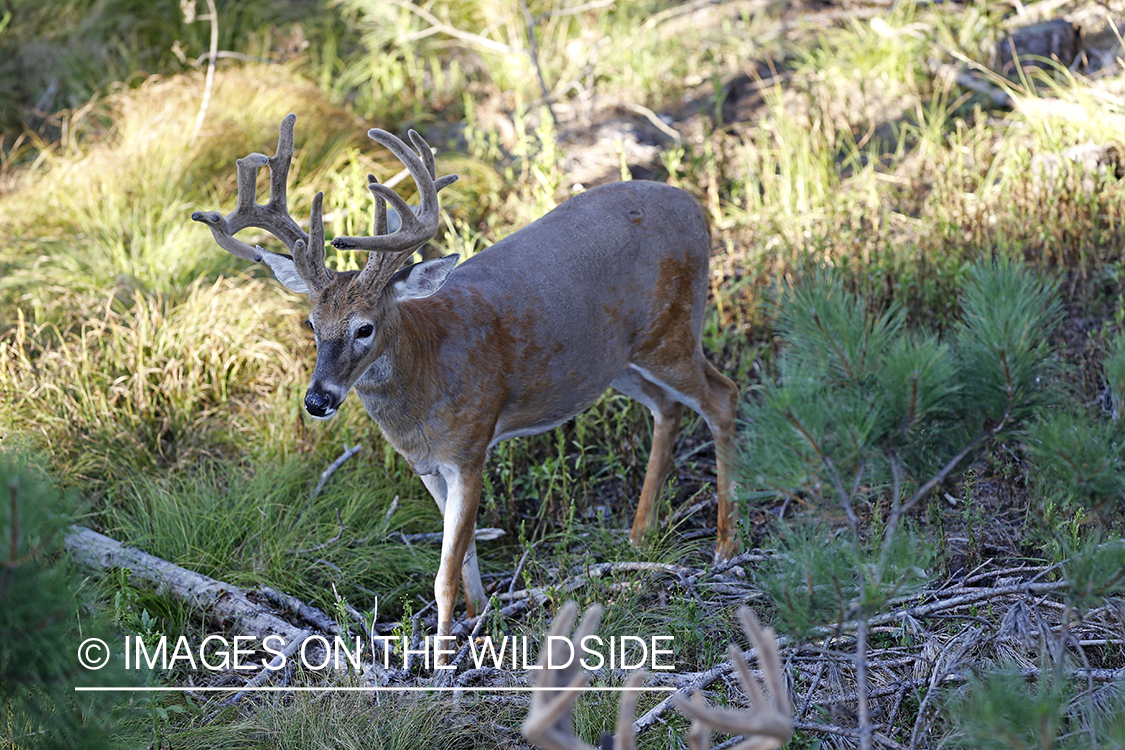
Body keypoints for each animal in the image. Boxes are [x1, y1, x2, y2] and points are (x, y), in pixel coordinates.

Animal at [190, 113, 742, 661]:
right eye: (311, 323)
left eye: (365, 328)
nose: (317, 399)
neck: (426, 376)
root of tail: (692, 206)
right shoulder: (428, 466)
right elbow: (468, 553)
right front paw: (479, 623)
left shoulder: (471, 447)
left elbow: (444, 574)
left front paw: (439, 659)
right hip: (617, 362)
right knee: (669, 408)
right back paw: (639, 537)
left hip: (672, 330)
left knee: (723, 396)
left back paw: (724, 546)